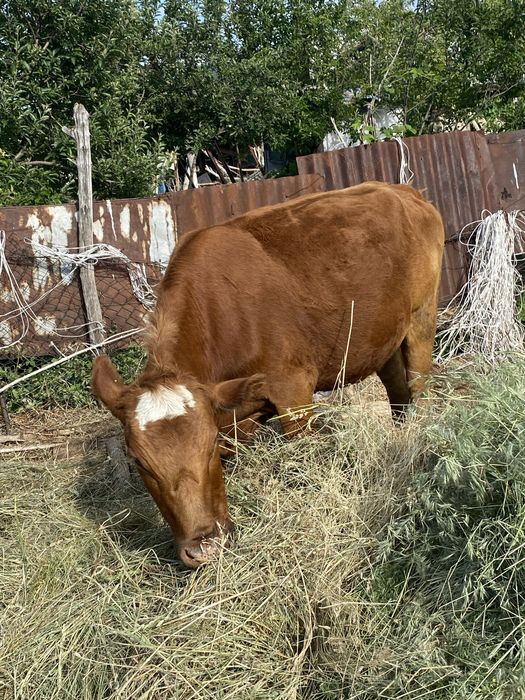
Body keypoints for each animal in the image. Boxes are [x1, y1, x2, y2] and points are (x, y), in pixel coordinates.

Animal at [92, 181, 445, 569]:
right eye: (139, 463)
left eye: (209, 445)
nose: (201, 548)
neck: (222, 315)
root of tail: (402, 189)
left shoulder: (293, 390)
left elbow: (304, 460)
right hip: (385, 337)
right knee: (398, 393)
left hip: (422, 318)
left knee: (420, 388)